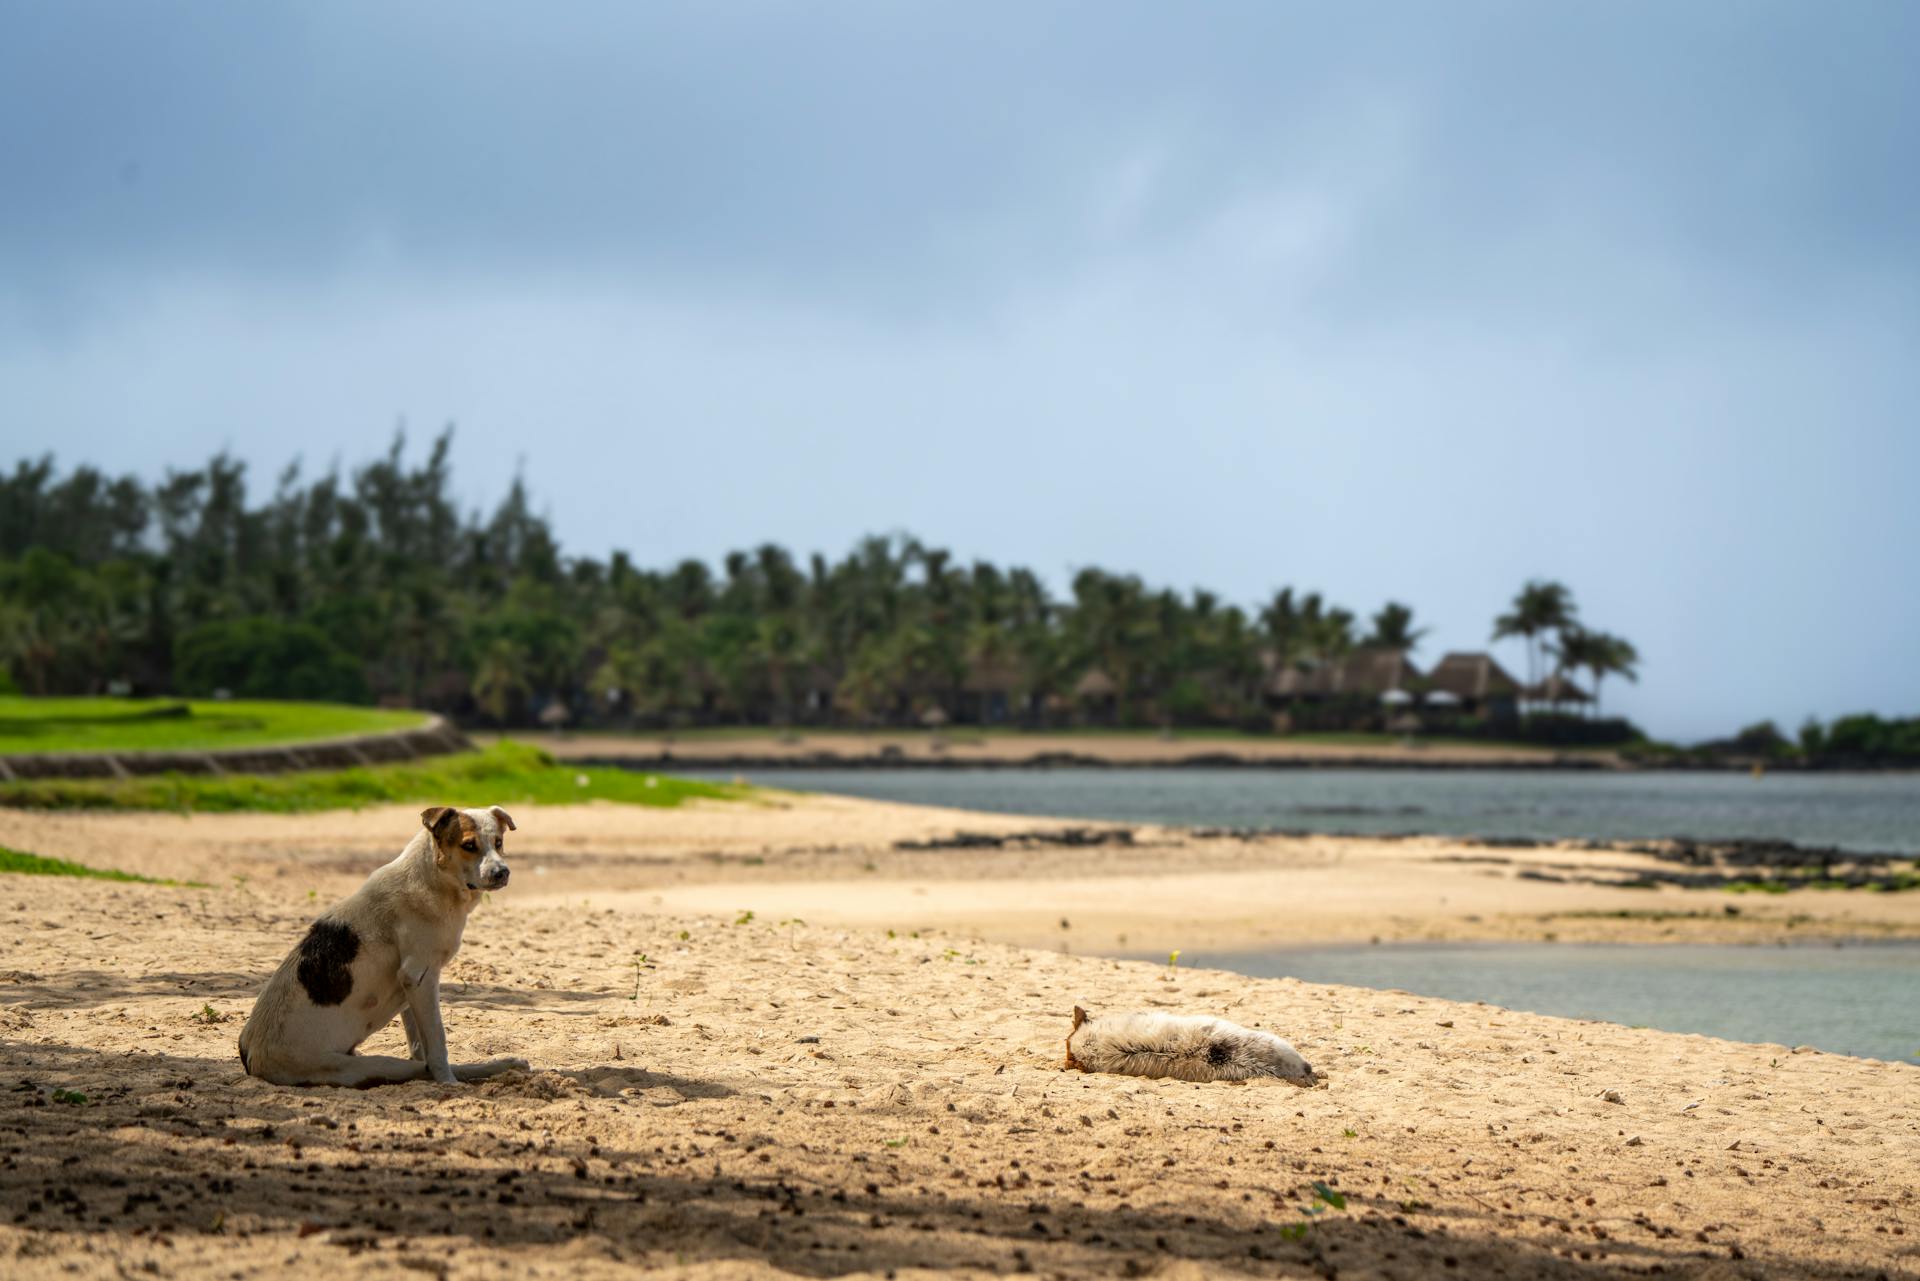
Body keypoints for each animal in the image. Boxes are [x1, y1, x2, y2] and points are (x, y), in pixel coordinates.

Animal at [238, 806, 533, 1090]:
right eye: (468, 845)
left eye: (498, 842)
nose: (502, 873)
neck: (434, 881)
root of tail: (251, 1057)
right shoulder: (420, 976)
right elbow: (437, 1043)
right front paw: (447, 1082)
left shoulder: (411, 989)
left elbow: (421, 1043)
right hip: (365, 1066)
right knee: (417, 1069)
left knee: (421, 1065)